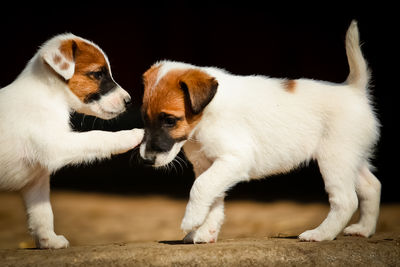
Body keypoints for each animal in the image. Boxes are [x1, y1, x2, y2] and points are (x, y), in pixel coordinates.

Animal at [0, 34, 144, 250]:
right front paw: (133, 135)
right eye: (97, 74)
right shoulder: (56, 145)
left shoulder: (37, 180)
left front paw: (48, 240)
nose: (129, 101)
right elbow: (97, 136)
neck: (48, 95)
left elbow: (42, 214)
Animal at [141, 20, 382, 243]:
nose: (147, 160)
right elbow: (213, 201)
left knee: (346, 200)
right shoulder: (210, 166)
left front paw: (191, 220)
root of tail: (353, 90)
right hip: (353, 160)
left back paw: (320, 234)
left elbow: (200, 187)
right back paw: (363, 229)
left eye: (170, 120)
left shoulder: (234, 159)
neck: (205, 117)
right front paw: (205, 232)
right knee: (372, 186)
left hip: (335, 160)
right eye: (144, 117)